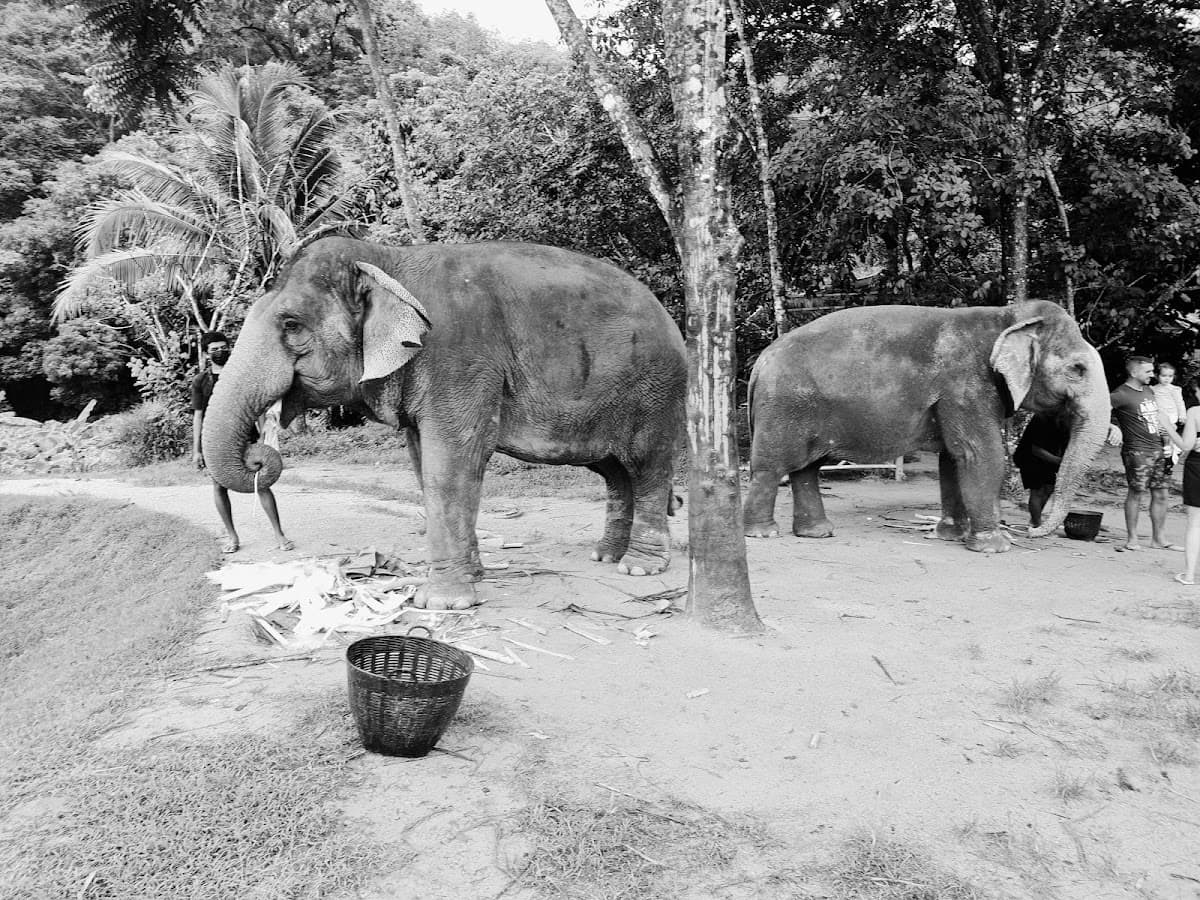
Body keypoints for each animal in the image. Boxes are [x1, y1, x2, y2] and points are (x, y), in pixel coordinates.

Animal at [201, 237, 686, 608]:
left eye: (291, 324)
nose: (259, 453)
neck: (388, 261)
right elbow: (423, 464)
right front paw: (474, 576)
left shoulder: (459, 360)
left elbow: (449, 464)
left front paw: (441, 602)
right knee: (614, 472)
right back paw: (605, 556)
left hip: (655, 392)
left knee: (646, 466)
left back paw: (639, 566)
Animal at [743, 300, 1110, 553]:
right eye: (1077, 368)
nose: (1030, 530)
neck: (1007, 316)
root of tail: (760, 363)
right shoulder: (966, 386)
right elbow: (981, 454)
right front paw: (994, 546)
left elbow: (952, 459)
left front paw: (949, 535)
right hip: (784, 408)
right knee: (771, 469)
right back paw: (763, 533)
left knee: (806, 468)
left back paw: (817, 532)